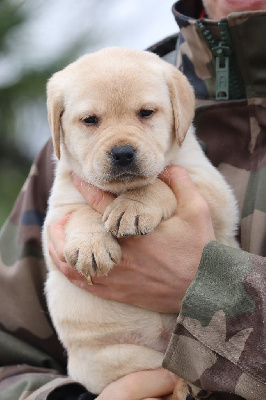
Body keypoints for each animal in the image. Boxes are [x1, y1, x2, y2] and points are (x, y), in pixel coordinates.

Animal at [42, 47, 239, 396]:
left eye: (146, 113)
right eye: (90, 120)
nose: (122, 152)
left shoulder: (213, 191)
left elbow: (157, 184)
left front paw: (133, 207)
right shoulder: (58, 211)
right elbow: (82, 212)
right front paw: (91, 246)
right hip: (117, 360)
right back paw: (186, 387)